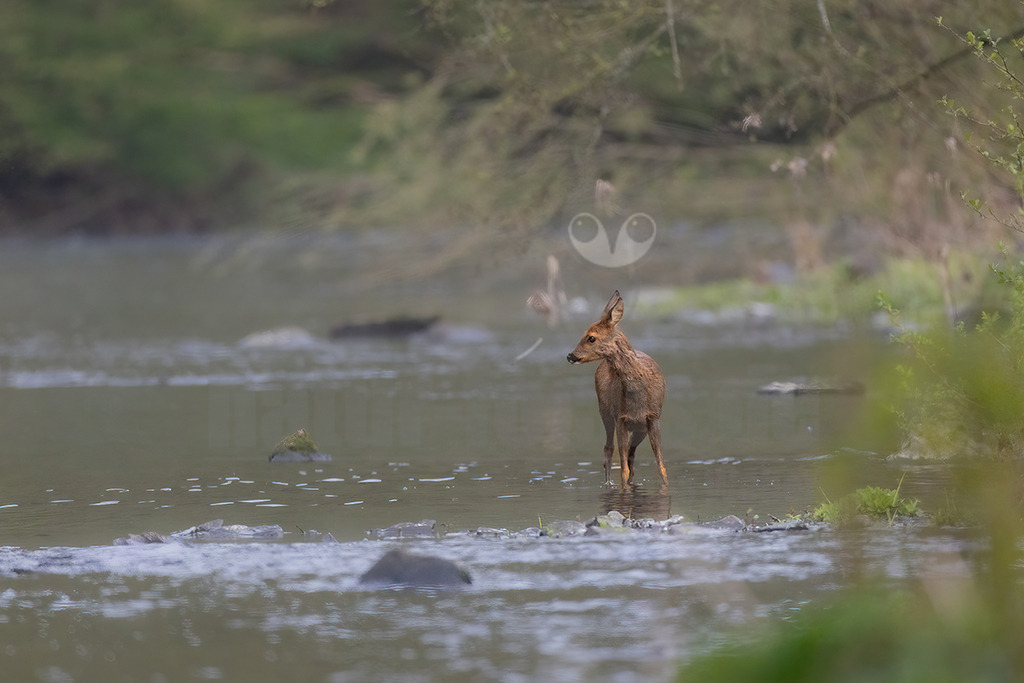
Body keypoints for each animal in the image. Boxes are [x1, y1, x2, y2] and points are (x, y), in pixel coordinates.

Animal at [566, 291, 668, 486]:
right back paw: (608, 483)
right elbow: (623, 469)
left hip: (638, 428)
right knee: (609, 450)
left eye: (591, 337)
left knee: (630, 456)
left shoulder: (653, 417)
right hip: (605, 412)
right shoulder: (621, 417)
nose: (570, 355)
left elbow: (661, 467)